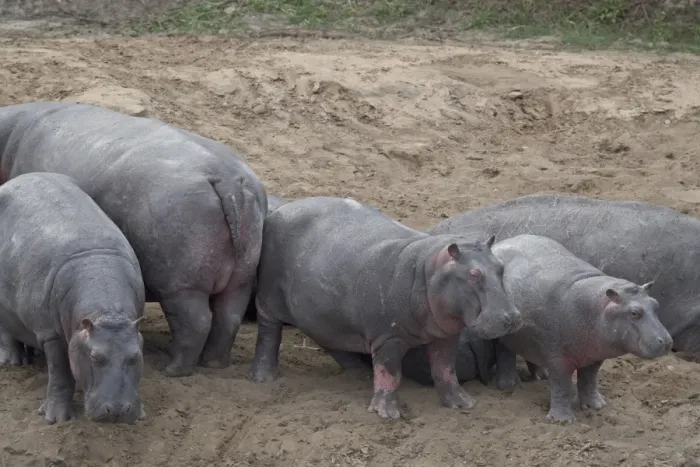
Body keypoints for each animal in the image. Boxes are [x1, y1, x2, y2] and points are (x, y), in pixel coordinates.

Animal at [0, 102, 267, 377]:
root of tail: (227, 180)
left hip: (181, 285)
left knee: (196, 323)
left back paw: (171, 369)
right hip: (240, 277)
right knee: (228, 317)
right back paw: (213, 363)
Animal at [0, 172, 146, 424]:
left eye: (136, 356)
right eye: (95, 357)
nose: (117, 411)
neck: (108, 313)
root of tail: (18, 178)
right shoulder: (50, 333)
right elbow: (60, 374)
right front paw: (55, 419)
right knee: (5, 329)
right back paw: (12, 361)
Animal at [247, 196, 522, 419]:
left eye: (500, 266)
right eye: (473, 274)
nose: (511, 317)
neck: (427, 270)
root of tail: (281, 210)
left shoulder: (445, 335)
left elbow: (445, 369)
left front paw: (463, 403)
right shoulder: (387, 337)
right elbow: (390, 373)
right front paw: (387, 414)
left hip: (323, 315)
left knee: (331, 341)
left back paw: (357, 374)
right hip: (269, 300)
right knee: (268, 334)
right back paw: (264, 378)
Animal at [489, 234, 672, 423]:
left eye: (656, 304)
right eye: (634, 312)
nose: (666, 342)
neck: (597, 307)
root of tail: (501, 243)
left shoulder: (594, 356)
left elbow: (589, 379)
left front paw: (597, 406)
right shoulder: (558, 359)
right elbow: (562, 385)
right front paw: (562, 421)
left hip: (529, 339)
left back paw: (541, 376)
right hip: (505, 334)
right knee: (504, 353)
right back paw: (510, 385)